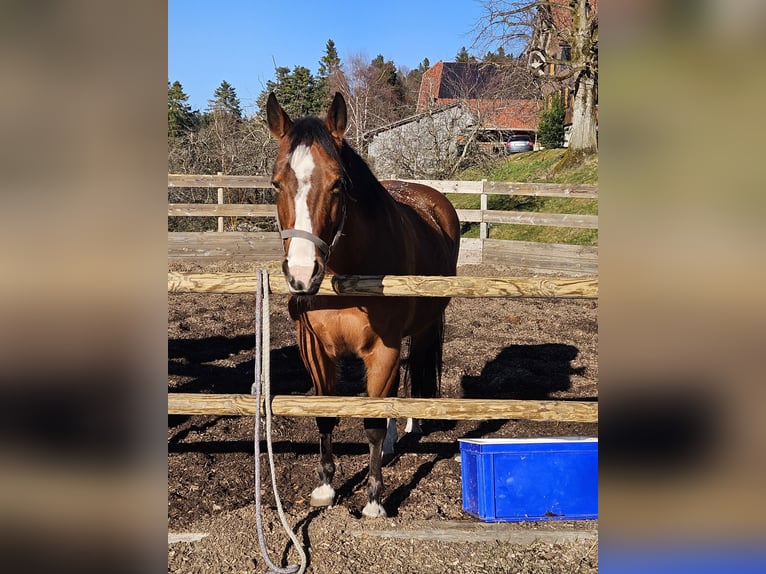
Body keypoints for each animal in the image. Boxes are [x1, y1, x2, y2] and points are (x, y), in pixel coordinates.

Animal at [266, 92, 460, 518]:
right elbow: (325, 416)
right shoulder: (314, 350)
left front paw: (373, 500)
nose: (302, 274)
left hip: (424, 328)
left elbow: (370, 423)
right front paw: (325, 488)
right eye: (275, 184)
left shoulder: (382, 350)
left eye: (338, 184)